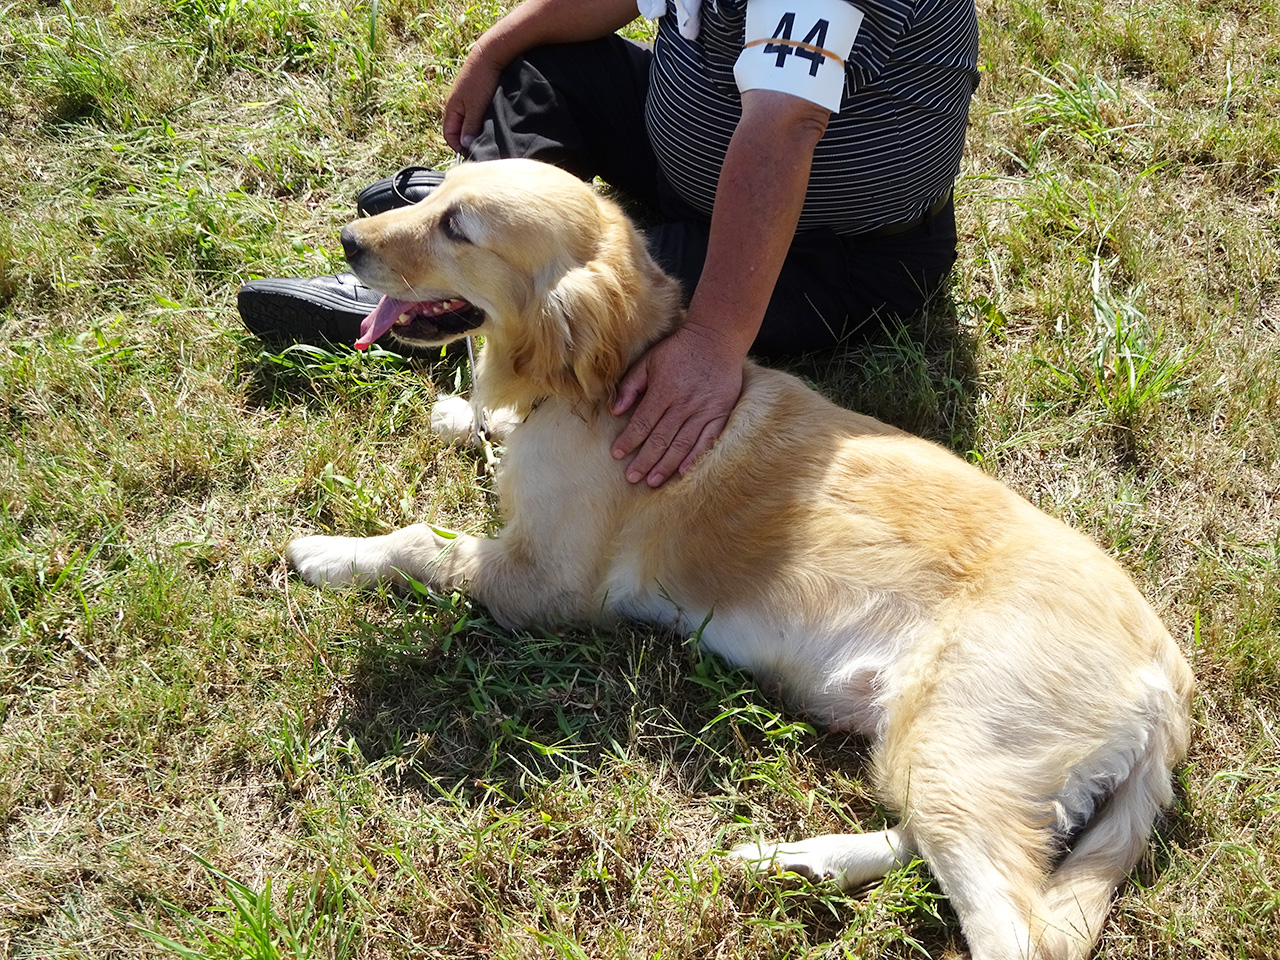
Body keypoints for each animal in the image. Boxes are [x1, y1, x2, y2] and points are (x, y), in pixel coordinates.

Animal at [285, 160, 1192, 960]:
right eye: (433, 193)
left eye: (457, 227)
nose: (347, 238)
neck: (613, 371)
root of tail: (1167, 676)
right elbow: (483, 426)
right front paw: (459, 413)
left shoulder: (543, 585)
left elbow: (416, 540)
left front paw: (330, 553)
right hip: (931, 754)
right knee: (933, 850)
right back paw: (795, 860)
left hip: (960, 748)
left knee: (1019, 931)